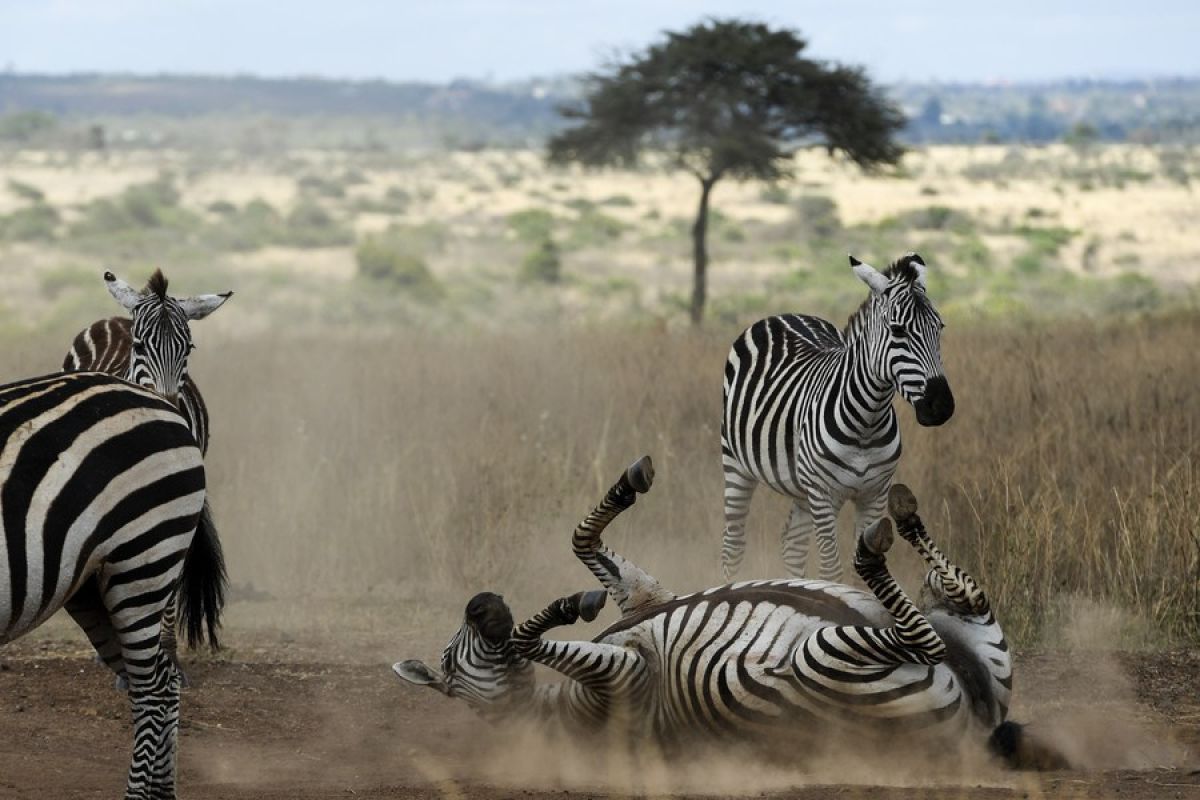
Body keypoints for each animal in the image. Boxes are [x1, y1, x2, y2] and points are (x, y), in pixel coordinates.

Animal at [0, 371, 225, 800]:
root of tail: (166, 407)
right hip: (94, 587)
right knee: (162, 682)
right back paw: (161, 793)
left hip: (142, 560)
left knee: (153, 690)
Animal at [393, 455, 1060, 767]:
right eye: (451, 661)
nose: (483, 604)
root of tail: (978, 731)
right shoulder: (630, 677)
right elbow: (526, 642)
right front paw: (552, 612)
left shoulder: (648, 595)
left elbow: (581, 541)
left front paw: (629, 486)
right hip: (826, 660)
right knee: (920, 636)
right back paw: (873, 548)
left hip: (975, 639)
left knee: (960, 595)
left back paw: (901, 514)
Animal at [720, 251, 955, 582]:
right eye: (898, 331)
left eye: (940, 327)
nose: (942, 406)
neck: (866, 424)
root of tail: (781, 315)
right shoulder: (824, 496)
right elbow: (831, 569)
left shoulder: (874, 496)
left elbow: (865, 564)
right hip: (736, 464)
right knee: (733, 545)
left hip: (802, 487)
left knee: (792, 545)